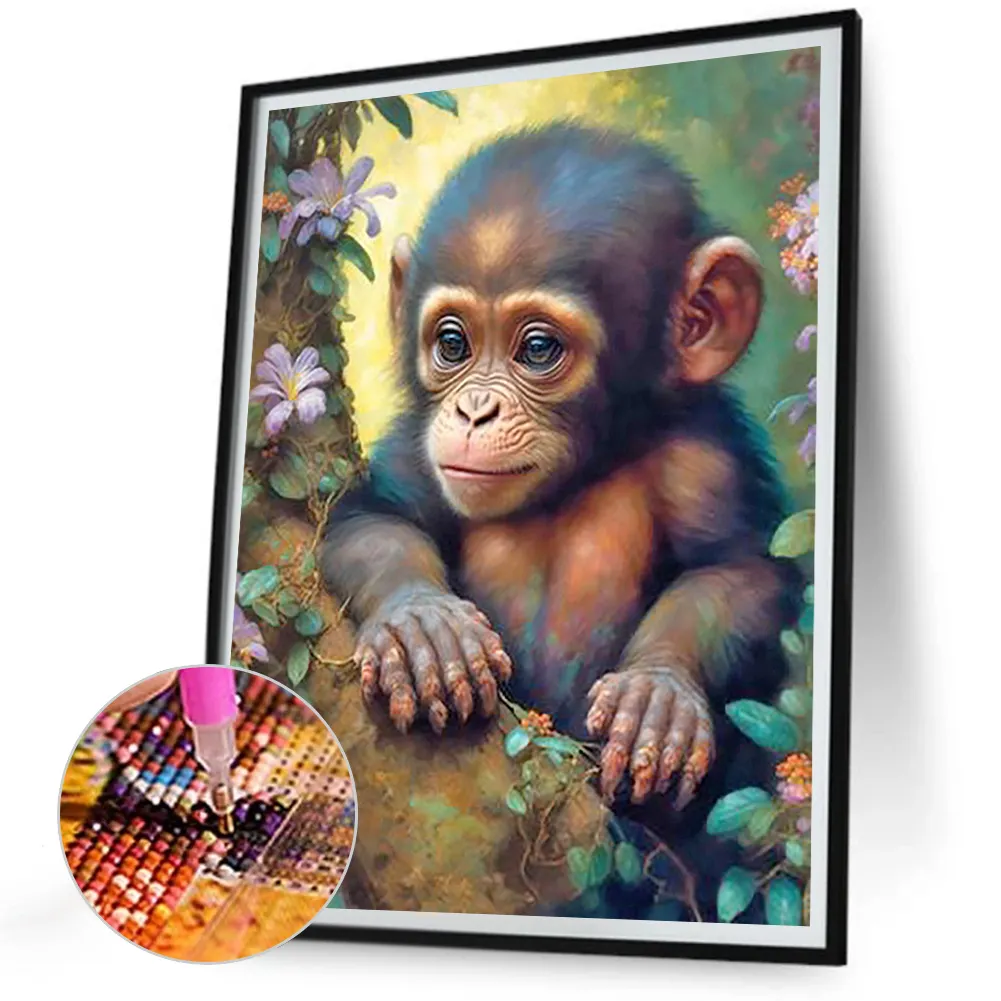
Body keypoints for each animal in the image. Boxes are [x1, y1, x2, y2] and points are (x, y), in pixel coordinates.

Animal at [321, 124, 799, 915]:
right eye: (452, 344)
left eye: (537, 348)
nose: (474, 410)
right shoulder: (417, 446)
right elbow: (372, 518)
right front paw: (424, 625)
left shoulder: (705, 456)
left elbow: (739, 572)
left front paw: (658, 694)